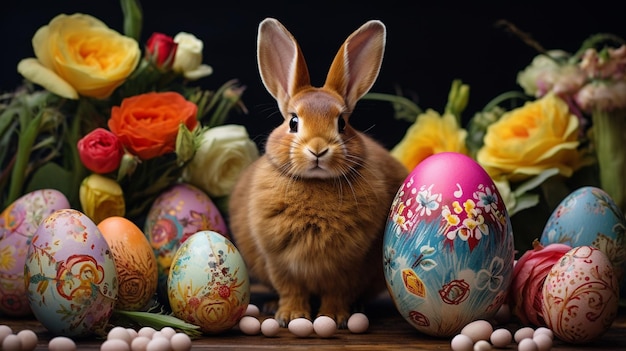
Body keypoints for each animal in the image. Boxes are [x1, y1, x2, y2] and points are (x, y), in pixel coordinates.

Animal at [227, 17, 408, 328]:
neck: (315, 183)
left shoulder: (347, 266)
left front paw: (333, 317)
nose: (318, 150)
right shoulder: (279, 262)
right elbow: (291, 289)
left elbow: (336, 291)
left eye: (342, 123)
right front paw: (291, 316)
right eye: (293, 122)